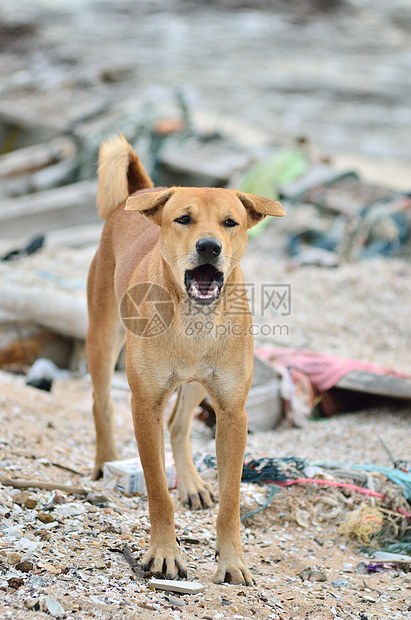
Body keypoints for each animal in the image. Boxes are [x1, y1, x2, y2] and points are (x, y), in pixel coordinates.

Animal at [86, 133, 286, 584]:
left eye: (230, 223)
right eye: (183, 219)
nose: (209, 246)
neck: (194, 320)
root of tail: (144, 190)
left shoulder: (232, 412)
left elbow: (231, 502)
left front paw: (232, 561)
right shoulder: (145, 405)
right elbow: (158, 491)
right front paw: (164, 553)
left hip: (197, 384)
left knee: (179, 426)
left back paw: (192, 483)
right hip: (102, 340)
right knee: (101, 403)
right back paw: (105, 462)